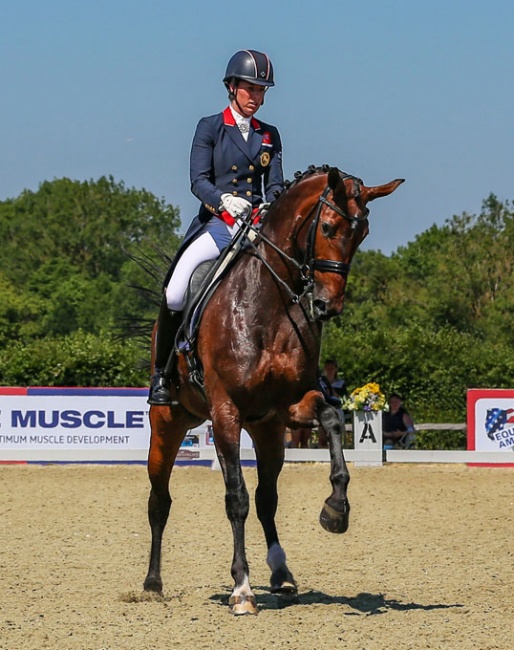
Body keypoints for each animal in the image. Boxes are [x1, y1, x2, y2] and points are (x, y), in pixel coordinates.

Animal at [142, 163, 402, 612]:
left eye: (363, 233)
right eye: (328, 227)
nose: (327, 306)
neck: (267, 303)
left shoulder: (291, 405)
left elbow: (333, 419)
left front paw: (336, 510)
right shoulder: (225, 412)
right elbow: (236, 498)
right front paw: (242, 588)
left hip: (266, 430)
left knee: (267, 499)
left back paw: (281, 574)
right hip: (168, 423)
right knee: (160, 501)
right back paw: (153, 583)